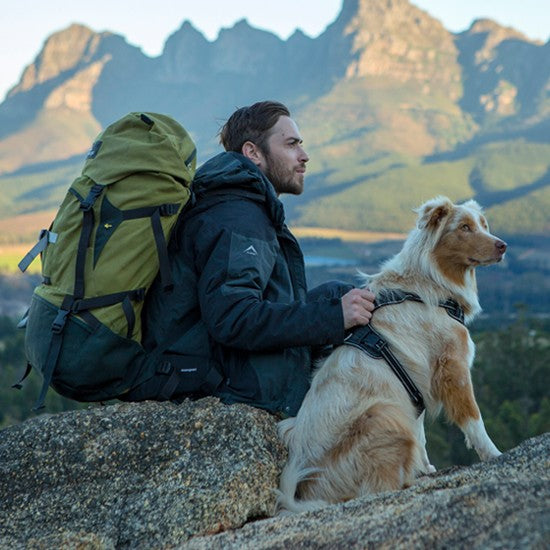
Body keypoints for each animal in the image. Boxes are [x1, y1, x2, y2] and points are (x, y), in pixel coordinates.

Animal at [280, 197, 508, 512]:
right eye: (464, 227)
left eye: (484, 225)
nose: (503, 246)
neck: (430, 280)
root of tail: (306, 491)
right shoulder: (452, 368)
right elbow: (474, 421)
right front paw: (494, 455)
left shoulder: (416, 387)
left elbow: (420, 433)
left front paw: (425, 467)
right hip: (384, 414)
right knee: (375, 488)